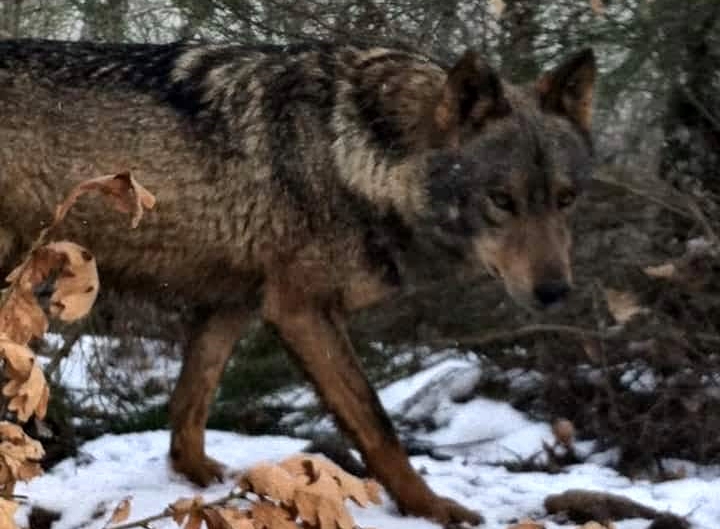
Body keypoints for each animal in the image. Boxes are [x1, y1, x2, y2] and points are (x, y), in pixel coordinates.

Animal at [0, 38, 596, 525]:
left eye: (566, 199)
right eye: (502, 200)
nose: (555, 292)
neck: (355, 156)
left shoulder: (232, 304)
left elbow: (189, 409)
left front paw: (201, 483)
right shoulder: (301, 311)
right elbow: (378, 427)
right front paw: (432, 510)